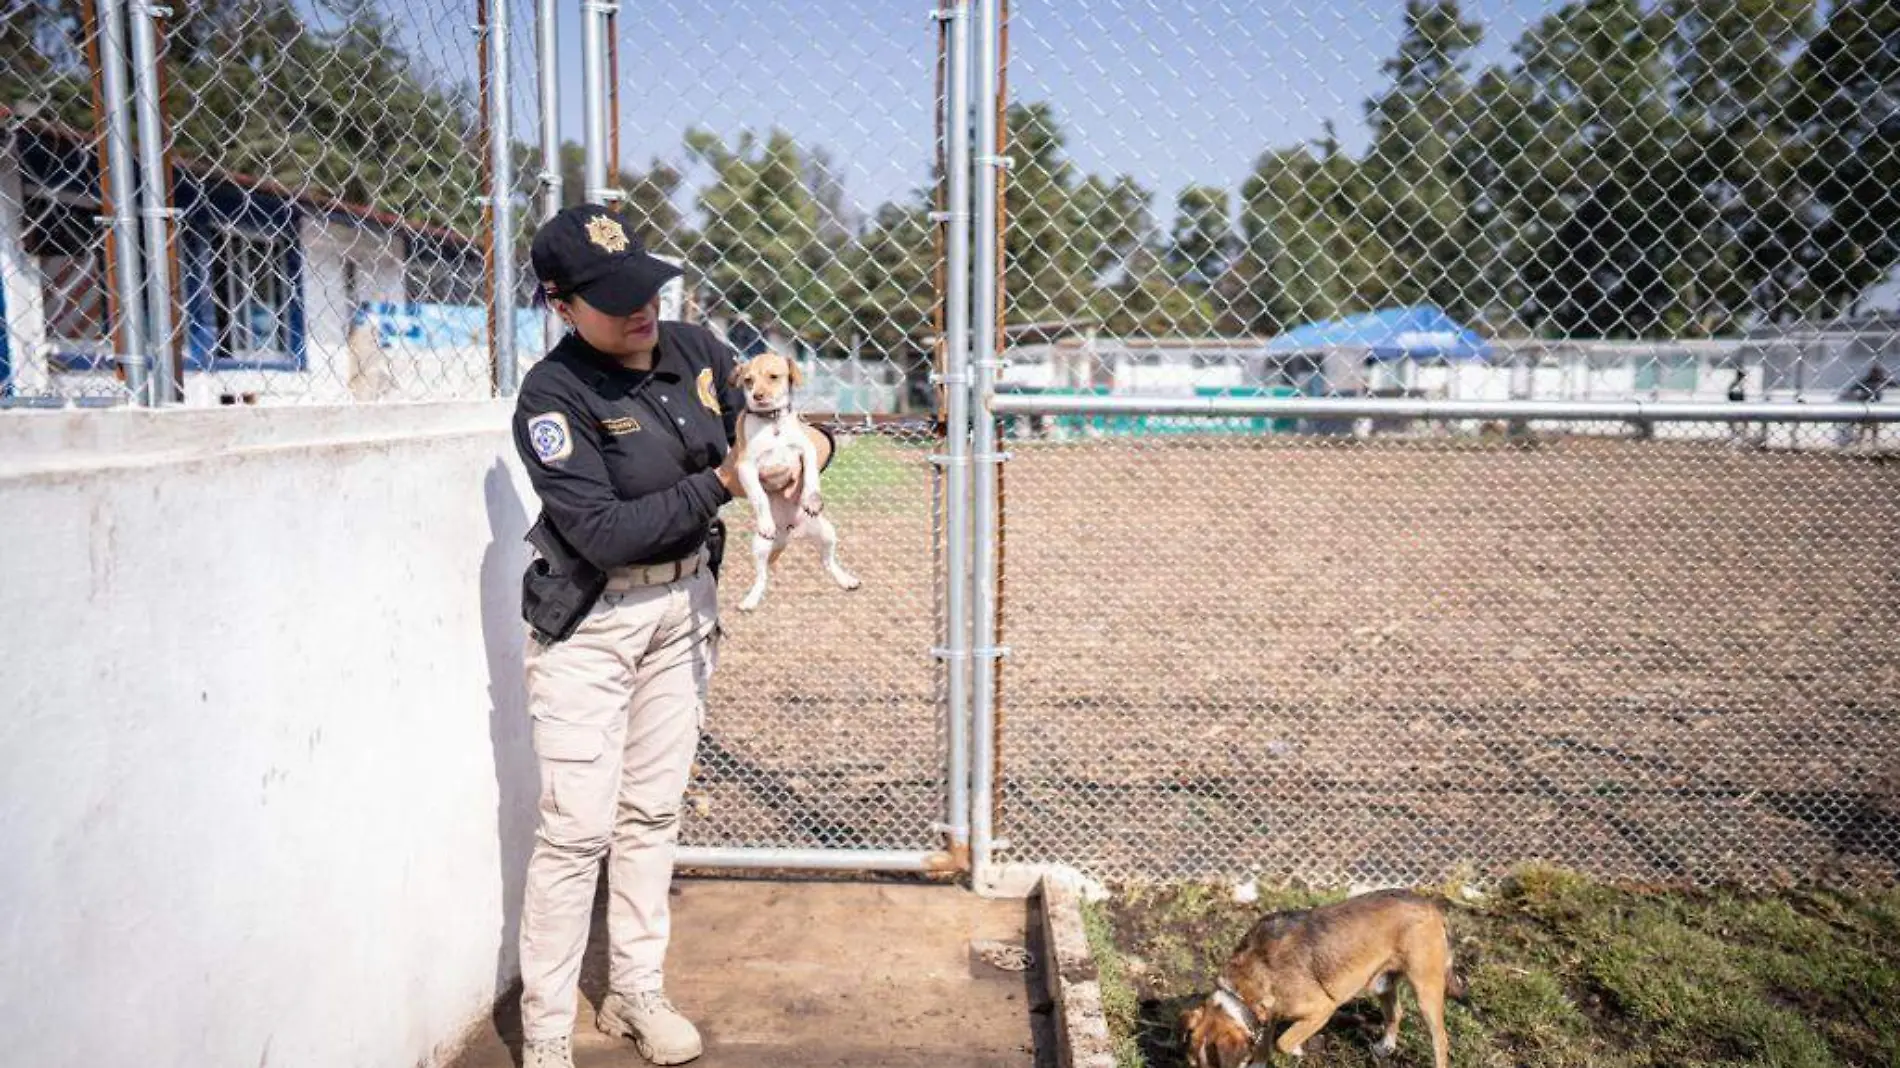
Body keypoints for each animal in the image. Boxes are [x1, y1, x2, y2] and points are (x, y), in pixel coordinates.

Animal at [733, 353, 862, 611]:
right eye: (748, 381)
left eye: (774, 377)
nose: (757, 396)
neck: (772, 424)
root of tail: (789, 532)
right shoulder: (745, 466)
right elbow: (759, 497)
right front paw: (766, 521)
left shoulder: (806, 450)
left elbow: (811, 477)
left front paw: (811, 500)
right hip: (760, 546)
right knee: (762, 576)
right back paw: (750, 601)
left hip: (827, 534)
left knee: (827, 562)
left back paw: (846, 580)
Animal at [1178, 885, 1459, 1064]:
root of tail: (1431, 905)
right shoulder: (1267, 1017)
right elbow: (1264, 1050)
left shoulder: (1323, 1009)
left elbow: (1282, 1042)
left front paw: (1297, 1051)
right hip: (1382, 981)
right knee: (1396, 1012)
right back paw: (1385, 1047)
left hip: (1425, 991)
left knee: (1441, 1040)